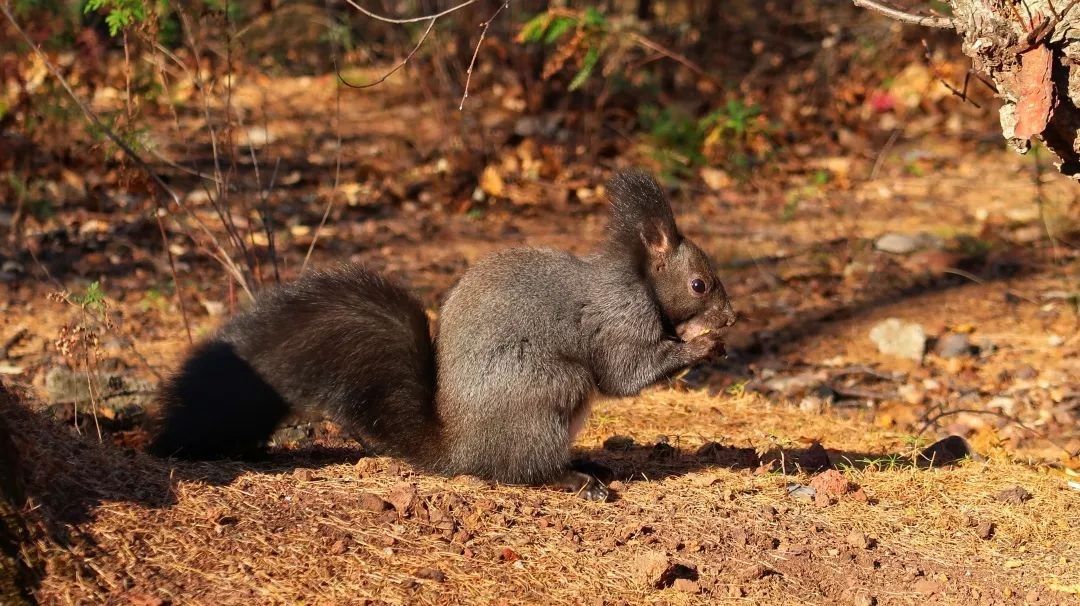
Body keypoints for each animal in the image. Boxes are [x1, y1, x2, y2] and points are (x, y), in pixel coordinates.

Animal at [150, 167, 734, 499]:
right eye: (700, 284)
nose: (730, 318)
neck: (637, 278)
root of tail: (458, 451)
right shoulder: (618, 317)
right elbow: (625, 373)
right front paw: (702, 345)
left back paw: (586, 463)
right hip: (545, 391)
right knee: (519, 471)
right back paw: (571, 479)